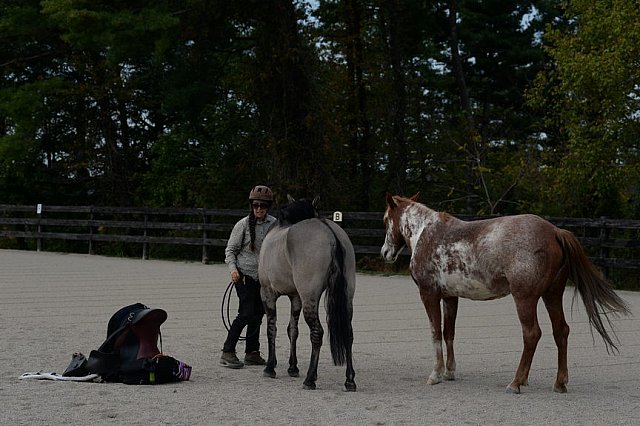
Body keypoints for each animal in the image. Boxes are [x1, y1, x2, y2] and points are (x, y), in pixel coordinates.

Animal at [258, 198, 358, 392]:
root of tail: (331, 233)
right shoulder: (296, 296)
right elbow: (292, 330)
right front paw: (293, 367)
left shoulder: (268, 293)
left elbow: (271, 328)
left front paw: (270, 367)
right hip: (347, 298)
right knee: (348, 333)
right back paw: (349, 380)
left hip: (309, 297)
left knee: (317, 332)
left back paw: (310, 379)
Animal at [380, 193, 632, 392]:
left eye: (385, 220)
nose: (385, 252)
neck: (427, 233)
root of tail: (554, 231)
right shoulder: (450, 297)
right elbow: (448, 332)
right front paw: (449, 372)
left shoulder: (429, 294)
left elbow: (435, 333)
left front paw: (435, 374)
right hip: (552, 295)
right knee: (561, 331)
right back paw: (559, 383)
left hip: (525, 299)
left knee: (532, 334)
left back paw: (516, 382)